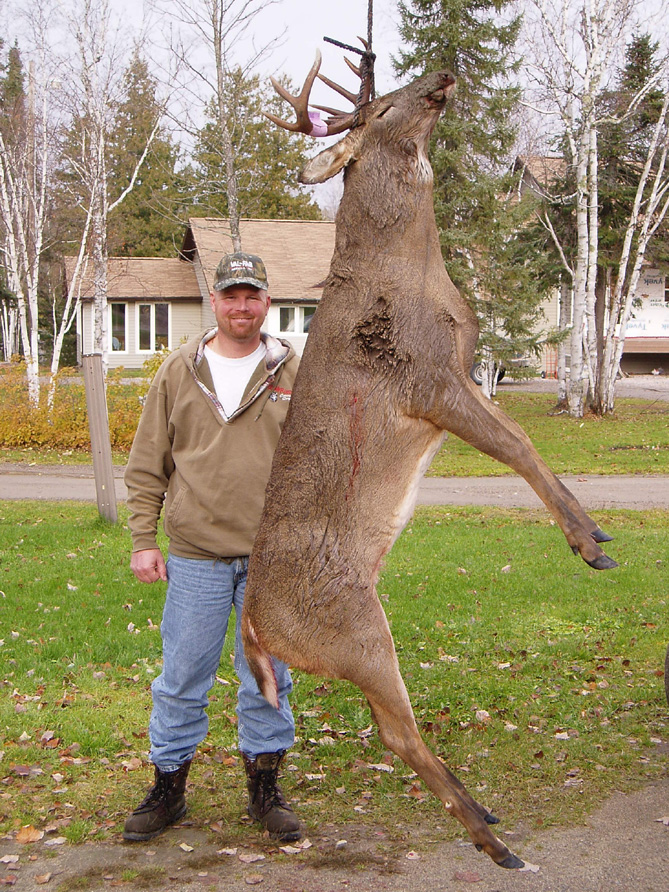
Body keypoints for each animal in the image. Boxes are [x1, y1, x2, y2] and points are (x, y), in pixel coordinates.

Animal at [241, 49, 617, 870]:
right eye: (381, 109)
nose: (441, 74)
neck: (410, 268)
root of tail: (252, 626)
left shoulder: (466, 370)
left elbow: (524, 440)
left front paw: (592, 531)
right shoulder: (422, 377)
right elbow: (518, 446)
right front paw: (588, 542)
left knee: (390, 730)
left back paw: (487, 816)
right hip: (355, 628)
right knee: (396, 733)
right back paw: (491, 838)